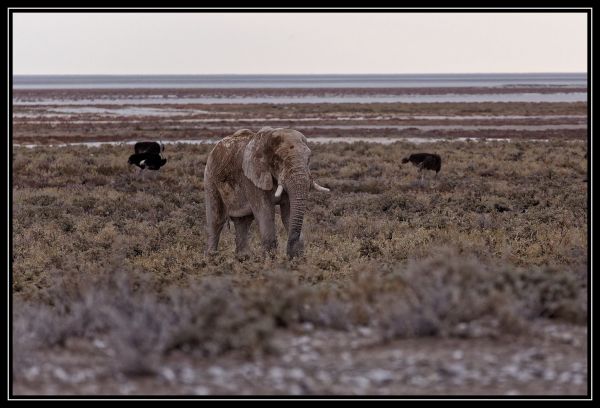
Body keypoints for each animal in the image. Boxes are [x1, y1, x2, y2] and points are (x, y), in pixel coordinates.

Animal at [205, 126, 328, 258]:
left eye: (309, 158)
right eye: (279, 159)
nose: (289, 254)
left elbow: (288, 212)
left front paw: (297, 257)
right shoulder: (251, 178)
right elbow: (265, 211)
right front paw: (270, 259)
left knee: (243, 221)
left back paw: (243, 257)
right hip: (210, 178)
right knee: (216, 219)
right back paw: (211, 256)